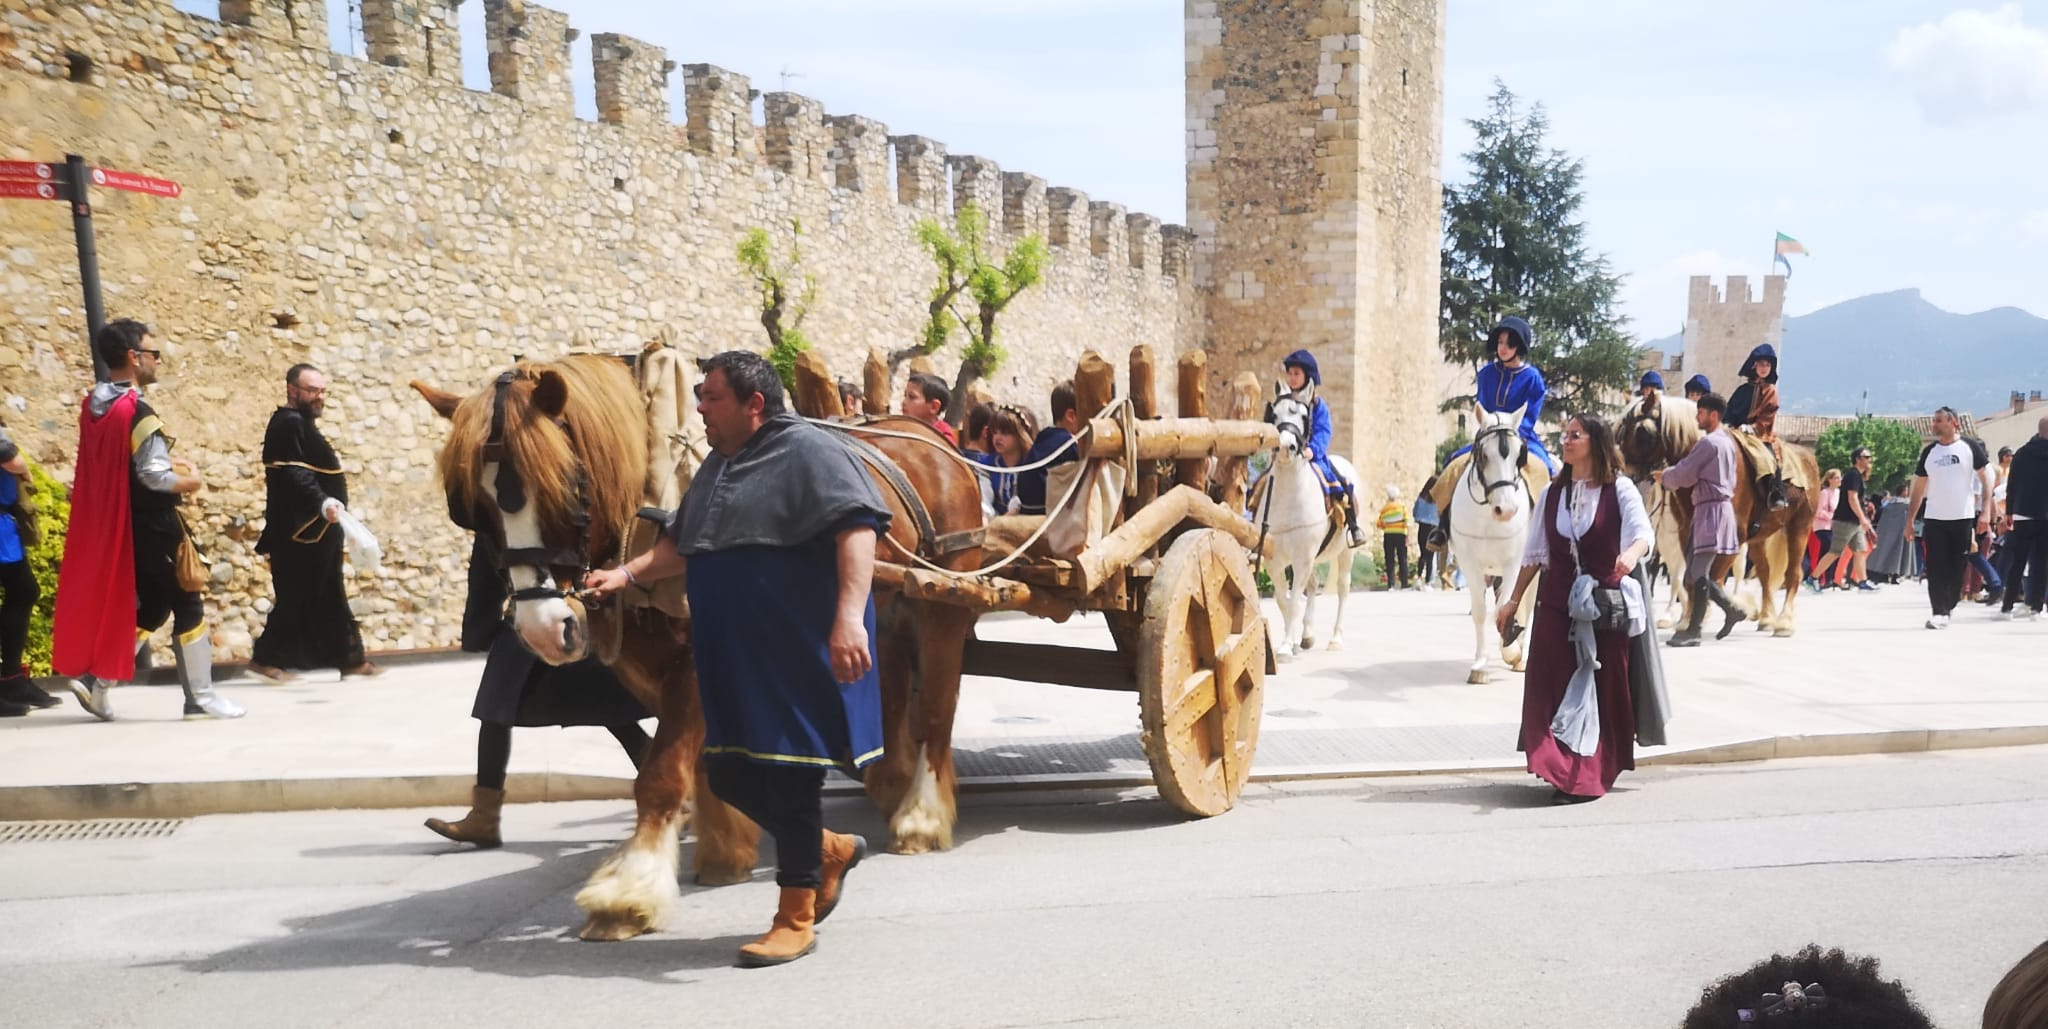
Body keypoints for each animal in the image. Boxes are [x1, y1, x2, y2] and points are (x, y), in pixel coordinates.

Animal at [1261, 385, 1359, 660]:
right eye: (1275, 414)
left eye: (1305, 417)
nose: (1286, 446)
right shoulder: (1274, 560)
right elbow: (1283, 600)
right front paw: (1292, 642)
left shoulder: (1302, 558)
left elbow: (1294, 601)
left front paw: (1285, 646)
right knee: (1313, 585)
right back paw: (1306, 636)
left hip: (1346, 553)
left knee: (1343, 589)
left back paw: (1335, 639)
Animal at [1441, 403, 1540, 684]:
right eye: (1484, 455)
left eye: (1520, 455)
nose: (1506, 510)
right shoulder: (1469, 563)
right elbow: (1481, 611)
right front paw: (1480, 665)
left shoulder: (1513, 564)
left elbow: (1503, 610)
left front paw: (1512, 651)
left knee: (1529, 605)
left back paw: (1523, 655)